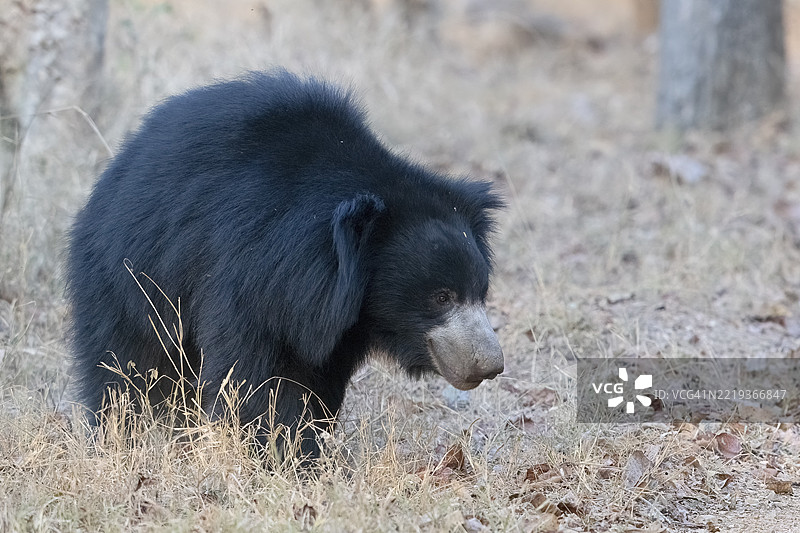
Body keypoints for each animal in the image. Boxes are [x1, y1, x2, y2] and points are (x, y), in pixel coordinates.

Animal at [66, 70, 504, 460]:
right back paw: (123, 436)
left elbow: (317, 382)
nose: (490, 364)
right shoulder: (251, 270)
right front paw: (271, 454)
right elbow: (250, 372)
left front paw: (304, 451)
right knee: (128, 364)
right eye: (442, 296)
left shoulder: (335, 322)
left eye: (479, 293)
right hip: (129, 275)